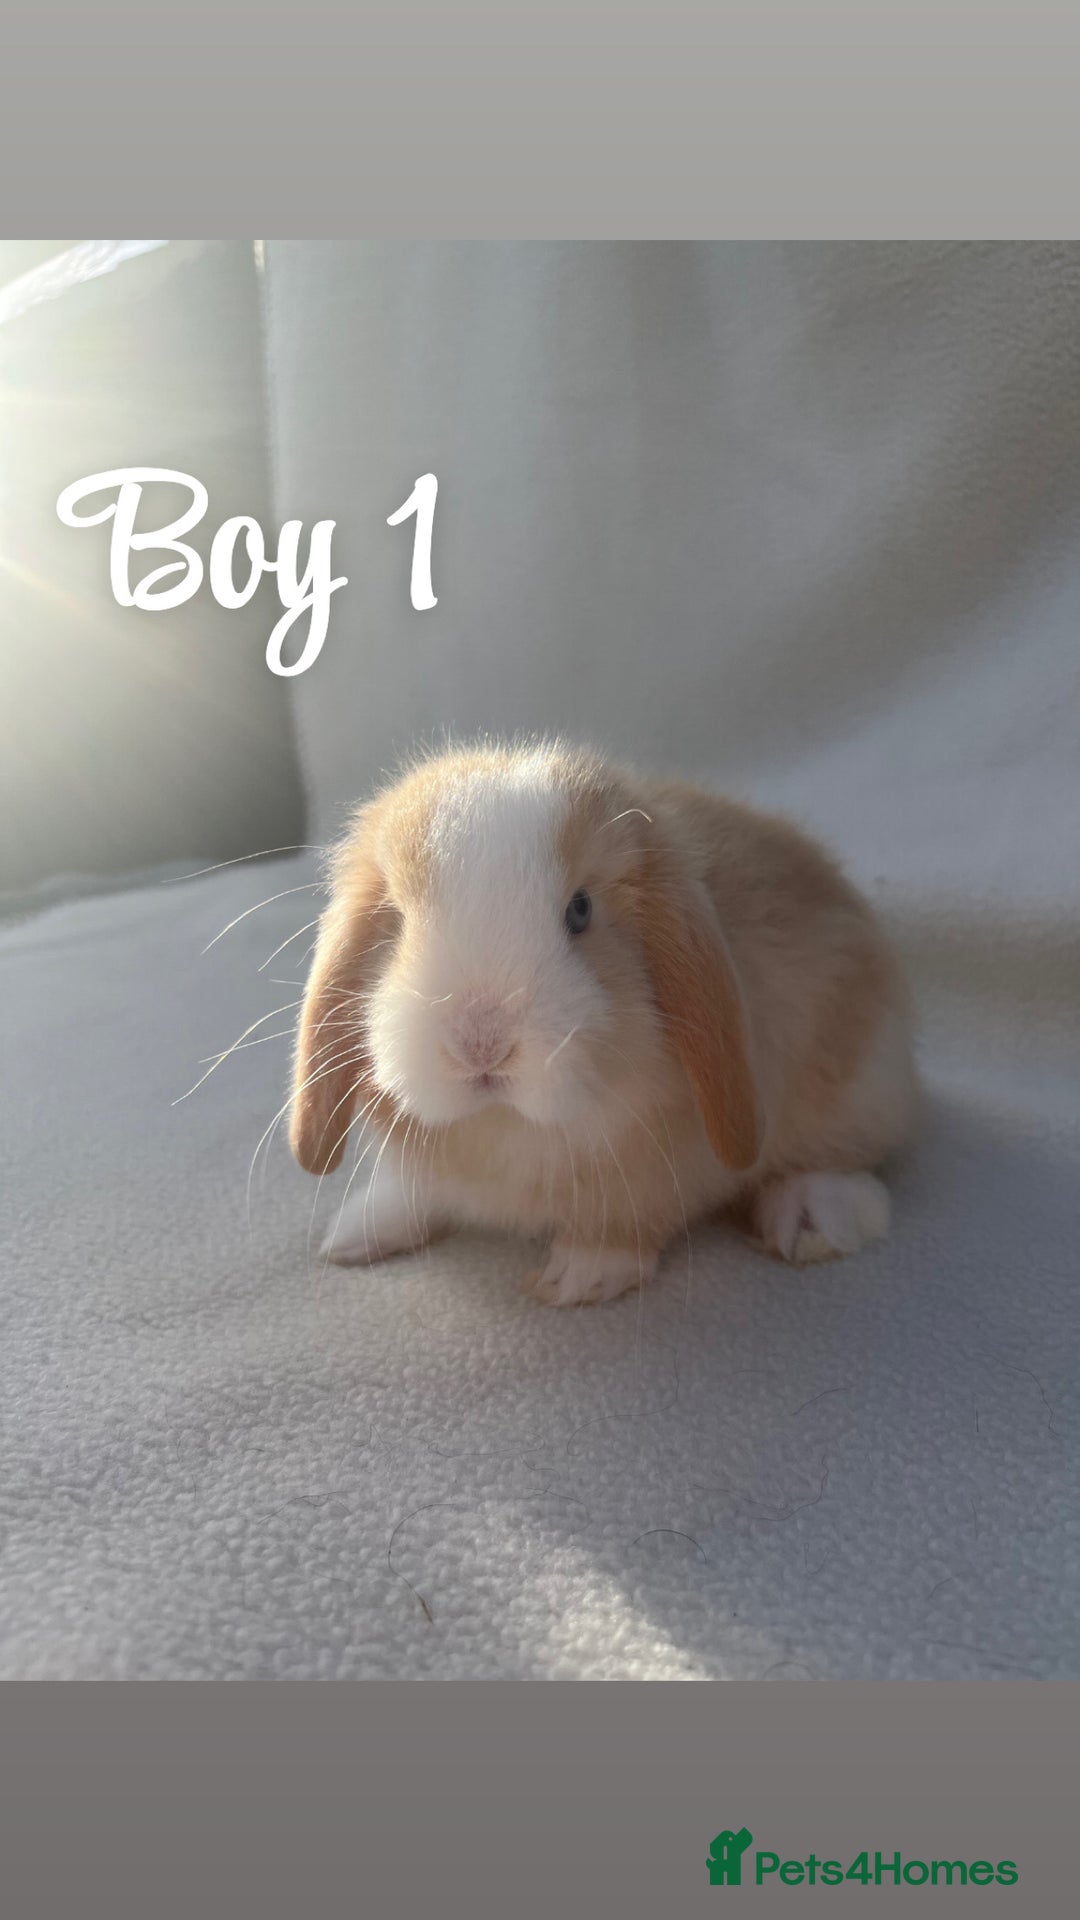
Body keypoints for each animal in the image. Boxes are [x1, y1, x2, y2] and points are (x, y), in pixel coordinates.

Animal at [288, 739, 919, 1306]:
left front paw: (581, 1276)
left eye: (580, 910)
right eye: (395, 919)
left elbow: (628, 1222)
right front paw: (356, 1233)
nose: (480, 1043)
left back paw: (811, 1218)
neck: (506, 1126)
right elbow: (418, 1192)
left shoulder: (657, 1173)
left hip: (857, 1085)